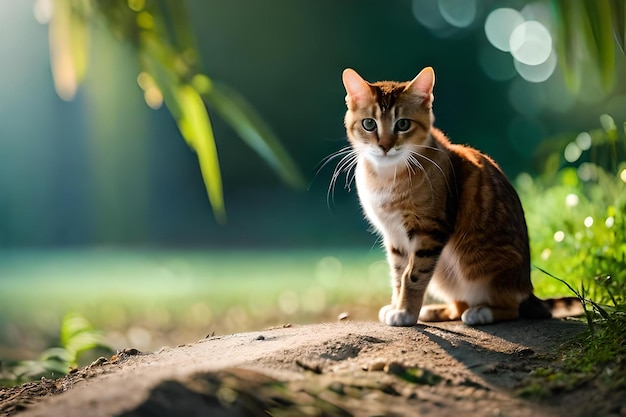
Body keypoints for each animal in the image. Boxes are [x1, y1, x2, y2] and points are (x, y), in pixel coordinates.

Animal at [342, 66, 552, 324]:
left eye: (403, 124)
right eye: (369, 124)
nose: (385, 146)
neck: (387, 177)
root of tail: (528, 288)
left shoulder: (430, 230)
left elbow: (413, 275)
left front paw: (405, 312)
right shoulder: (394, 235)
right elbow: (398, 273)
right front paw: (397, 306)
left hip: (482, 270)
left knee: (512, 308)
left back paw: (482, 312)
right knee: (459, 304)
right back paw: (436, 311)